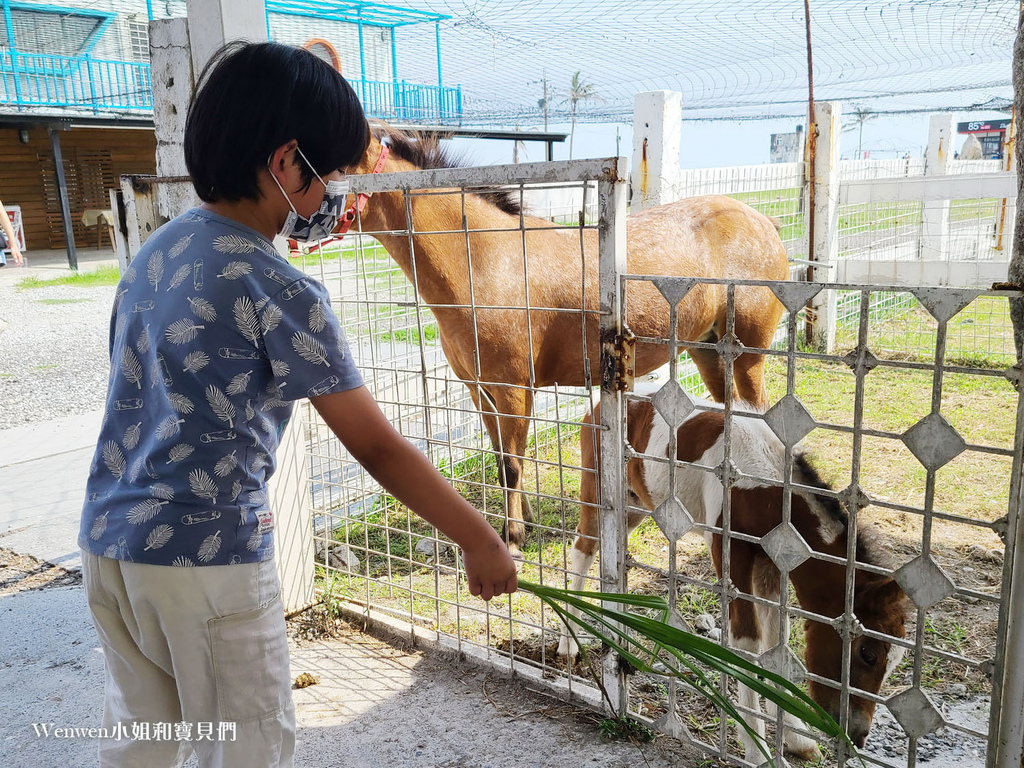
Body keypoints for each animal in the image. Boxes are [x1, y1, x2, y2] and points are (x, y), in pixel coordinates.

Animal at [348, 129, 786, 557]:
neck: (487, 261)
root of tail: (764, 223)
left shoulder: (513, 390)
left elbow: (511, 465)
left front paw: (513, 536)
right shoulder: (480, 390)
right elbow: (502, 459)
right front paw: (524, 519)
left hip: (746, 357)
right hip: (708, 351)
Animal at [561, 397, 913, 765]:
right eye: (868, 653)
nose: (857, 735)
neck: (766, 485)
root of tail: (598, 404)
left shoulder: (772, 562)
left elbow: (776, 640)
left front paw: (795, 737)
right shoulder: (729, 549)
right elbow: (747, 639)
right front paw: (758, 752)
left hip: (636, 504)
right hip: (596, 486)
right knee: (583, 550)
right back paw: (568, 644)